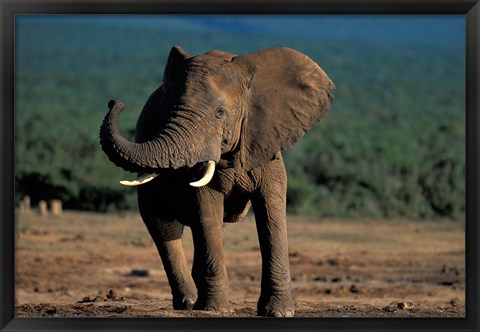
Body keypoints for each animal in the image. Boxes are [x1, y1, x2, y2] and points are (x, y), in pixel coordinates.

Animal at [99, 44, 336, 316]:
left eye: (220, 113)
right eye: (167, 111)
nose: (114, 102)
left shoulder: (266, 141)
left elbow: (271, 208)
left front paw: (279, 312)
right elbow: (204, 205)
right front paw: (215, 309)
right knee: (163, 225)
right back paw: (189, 303)